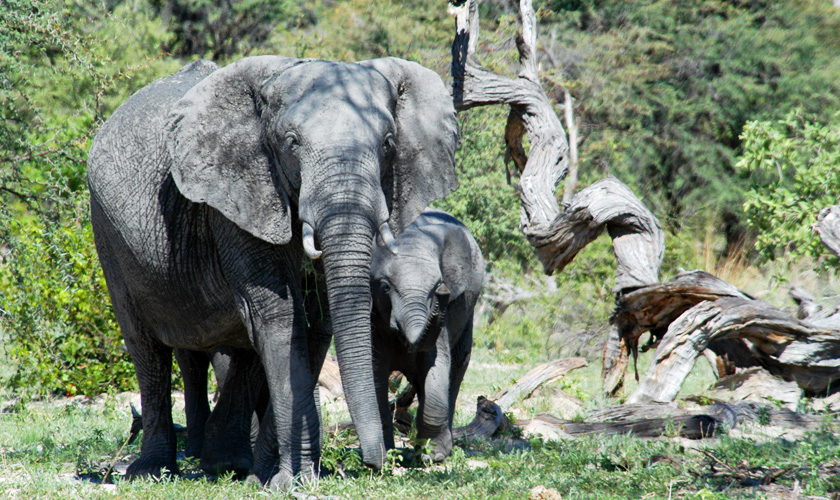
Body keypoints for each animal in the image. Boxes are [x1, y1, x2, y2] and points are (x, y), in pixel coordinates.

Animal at [87, 56, 460, 486]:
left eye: (388, 144)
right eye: (291, 143)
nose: (375, 463)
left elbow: (315, 323)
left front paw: (276, 478)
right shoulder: (236, 196)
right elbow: (280, 316)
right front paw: (292, 481)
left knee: (244, 348)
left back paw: (228, 463)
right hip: (108, 235)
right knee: (147, 350)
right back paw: (152, 470)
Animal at [370, 209, 486, 462]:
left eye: (436, 287)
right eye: (385, 287)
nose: (443, 292)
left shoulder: (442, 320)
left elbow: (437, 366)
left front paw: (432, 456)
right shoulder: (374, 316)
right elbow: (375, 374)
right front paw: (389, 452)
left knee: (457, 366)